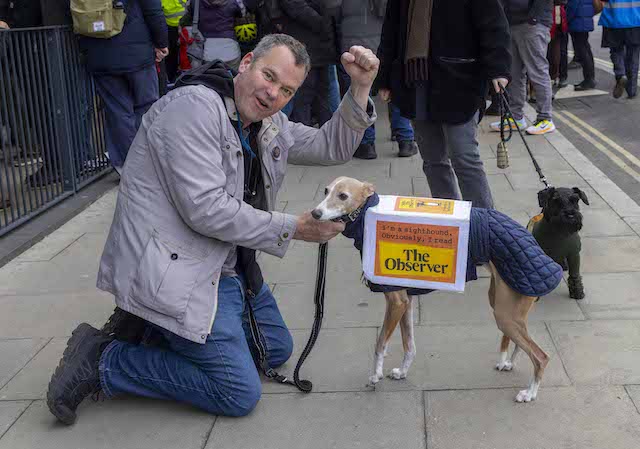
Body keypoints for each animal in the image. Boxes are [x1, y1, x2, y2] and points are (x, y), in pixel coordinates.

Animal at [312, 177, 563, 403]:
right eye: (325, 190)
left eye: (343, 195)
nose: (315, 214)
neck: (368, 213)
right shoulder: (406, 302)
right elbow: (409, 345)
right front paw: (402, 372)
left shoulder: (396, 302)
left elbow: (380, 343)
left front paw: (375, 376)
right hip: (505, 305)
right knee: (522, 342)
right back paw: (507, 363)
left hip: (505, 315)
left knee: (541, 356)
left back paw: (529, 393)